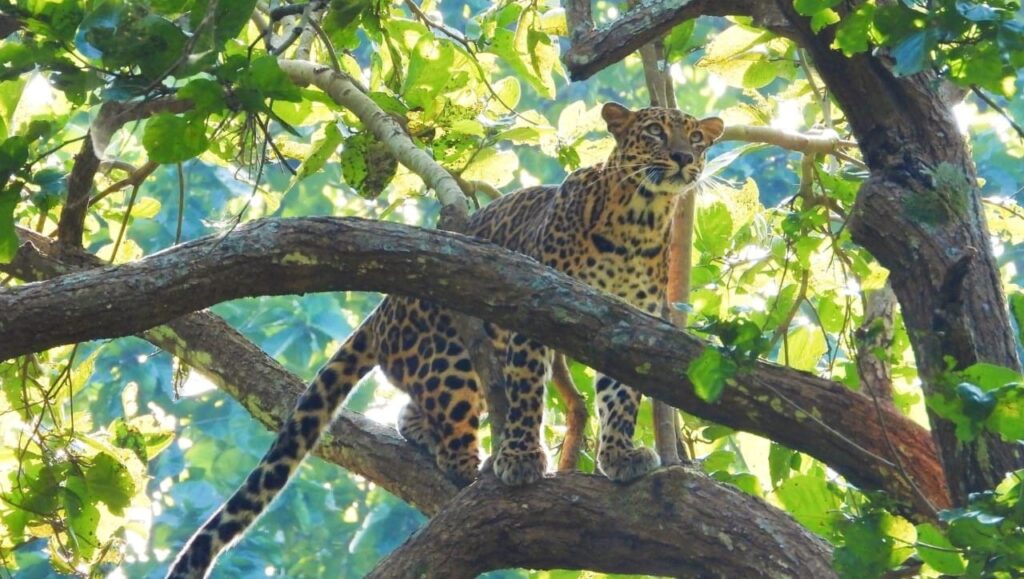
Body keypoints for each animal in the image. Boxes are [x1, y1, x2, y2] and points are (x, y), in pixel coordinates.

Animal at [167, 101, 724, 573]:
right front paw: (521, 458)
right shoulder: (536, 312)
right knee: (450, 426)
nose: (683, 157)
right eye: (655, 132)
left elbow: (621, 399)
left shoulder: (626, 331)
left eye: (696, 138)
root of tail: (383, 310)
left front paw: (620, 455)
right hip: (450, 361)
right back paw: (471, 464)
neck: (640, 222)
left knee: (411, 411)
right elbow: (527, 395)